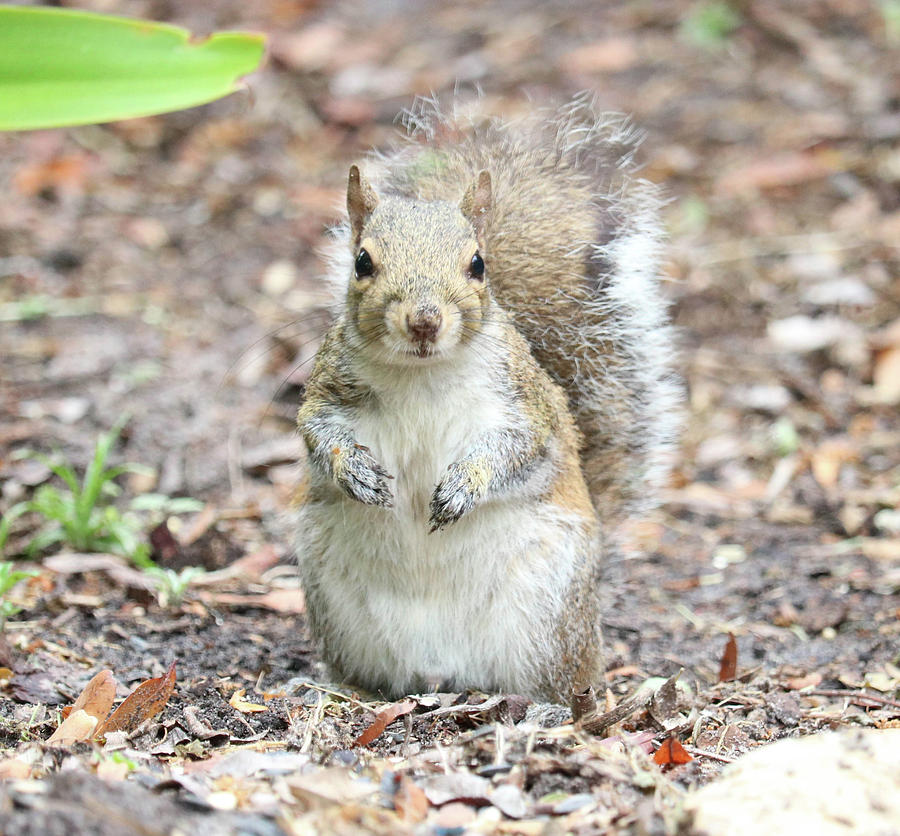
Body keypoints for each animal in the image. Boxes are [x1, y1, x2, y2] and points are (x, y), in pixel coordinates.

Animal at [296, 94, 684, 704]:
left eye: (477, 263)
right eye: (361, 262)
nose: (424, 320)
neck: (422, 374)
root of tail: (441, 668)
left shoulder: (526, 406)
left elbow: (517, 449)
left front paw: (464, 485)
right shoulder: (328, 390)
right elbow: (317, 433)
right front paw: (355, 471)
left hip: (547, 612)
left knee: (560, 683)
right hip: (334, 600)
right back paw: (347, 691)